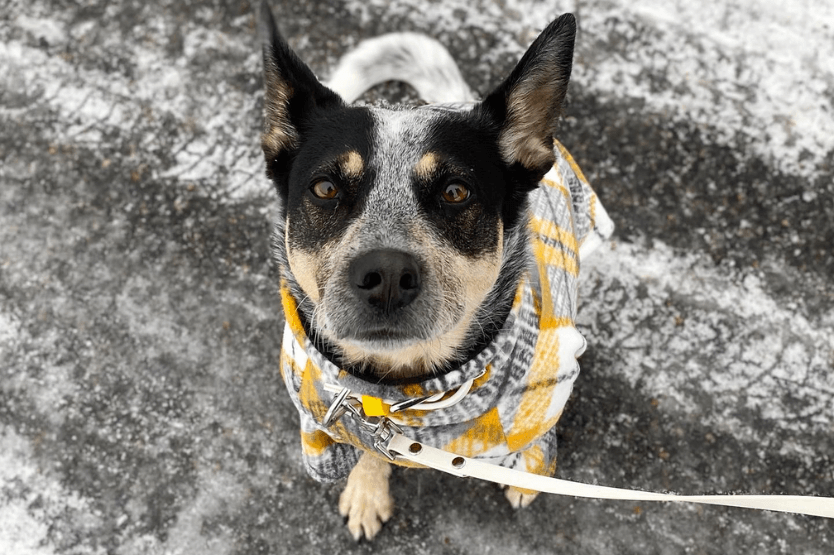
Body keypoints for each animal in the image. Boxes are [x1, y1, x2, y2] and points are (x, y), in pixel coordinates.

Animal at [258, 0, 612, 540]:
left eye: (455, 191)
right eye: (325, 188)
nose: (385, 275)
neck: (404, 391)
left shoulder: (549, 381)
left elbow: (537, 433)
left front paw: (529, 470)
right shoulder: (337, 418)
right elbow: (367, 449)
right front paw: (366, 491)